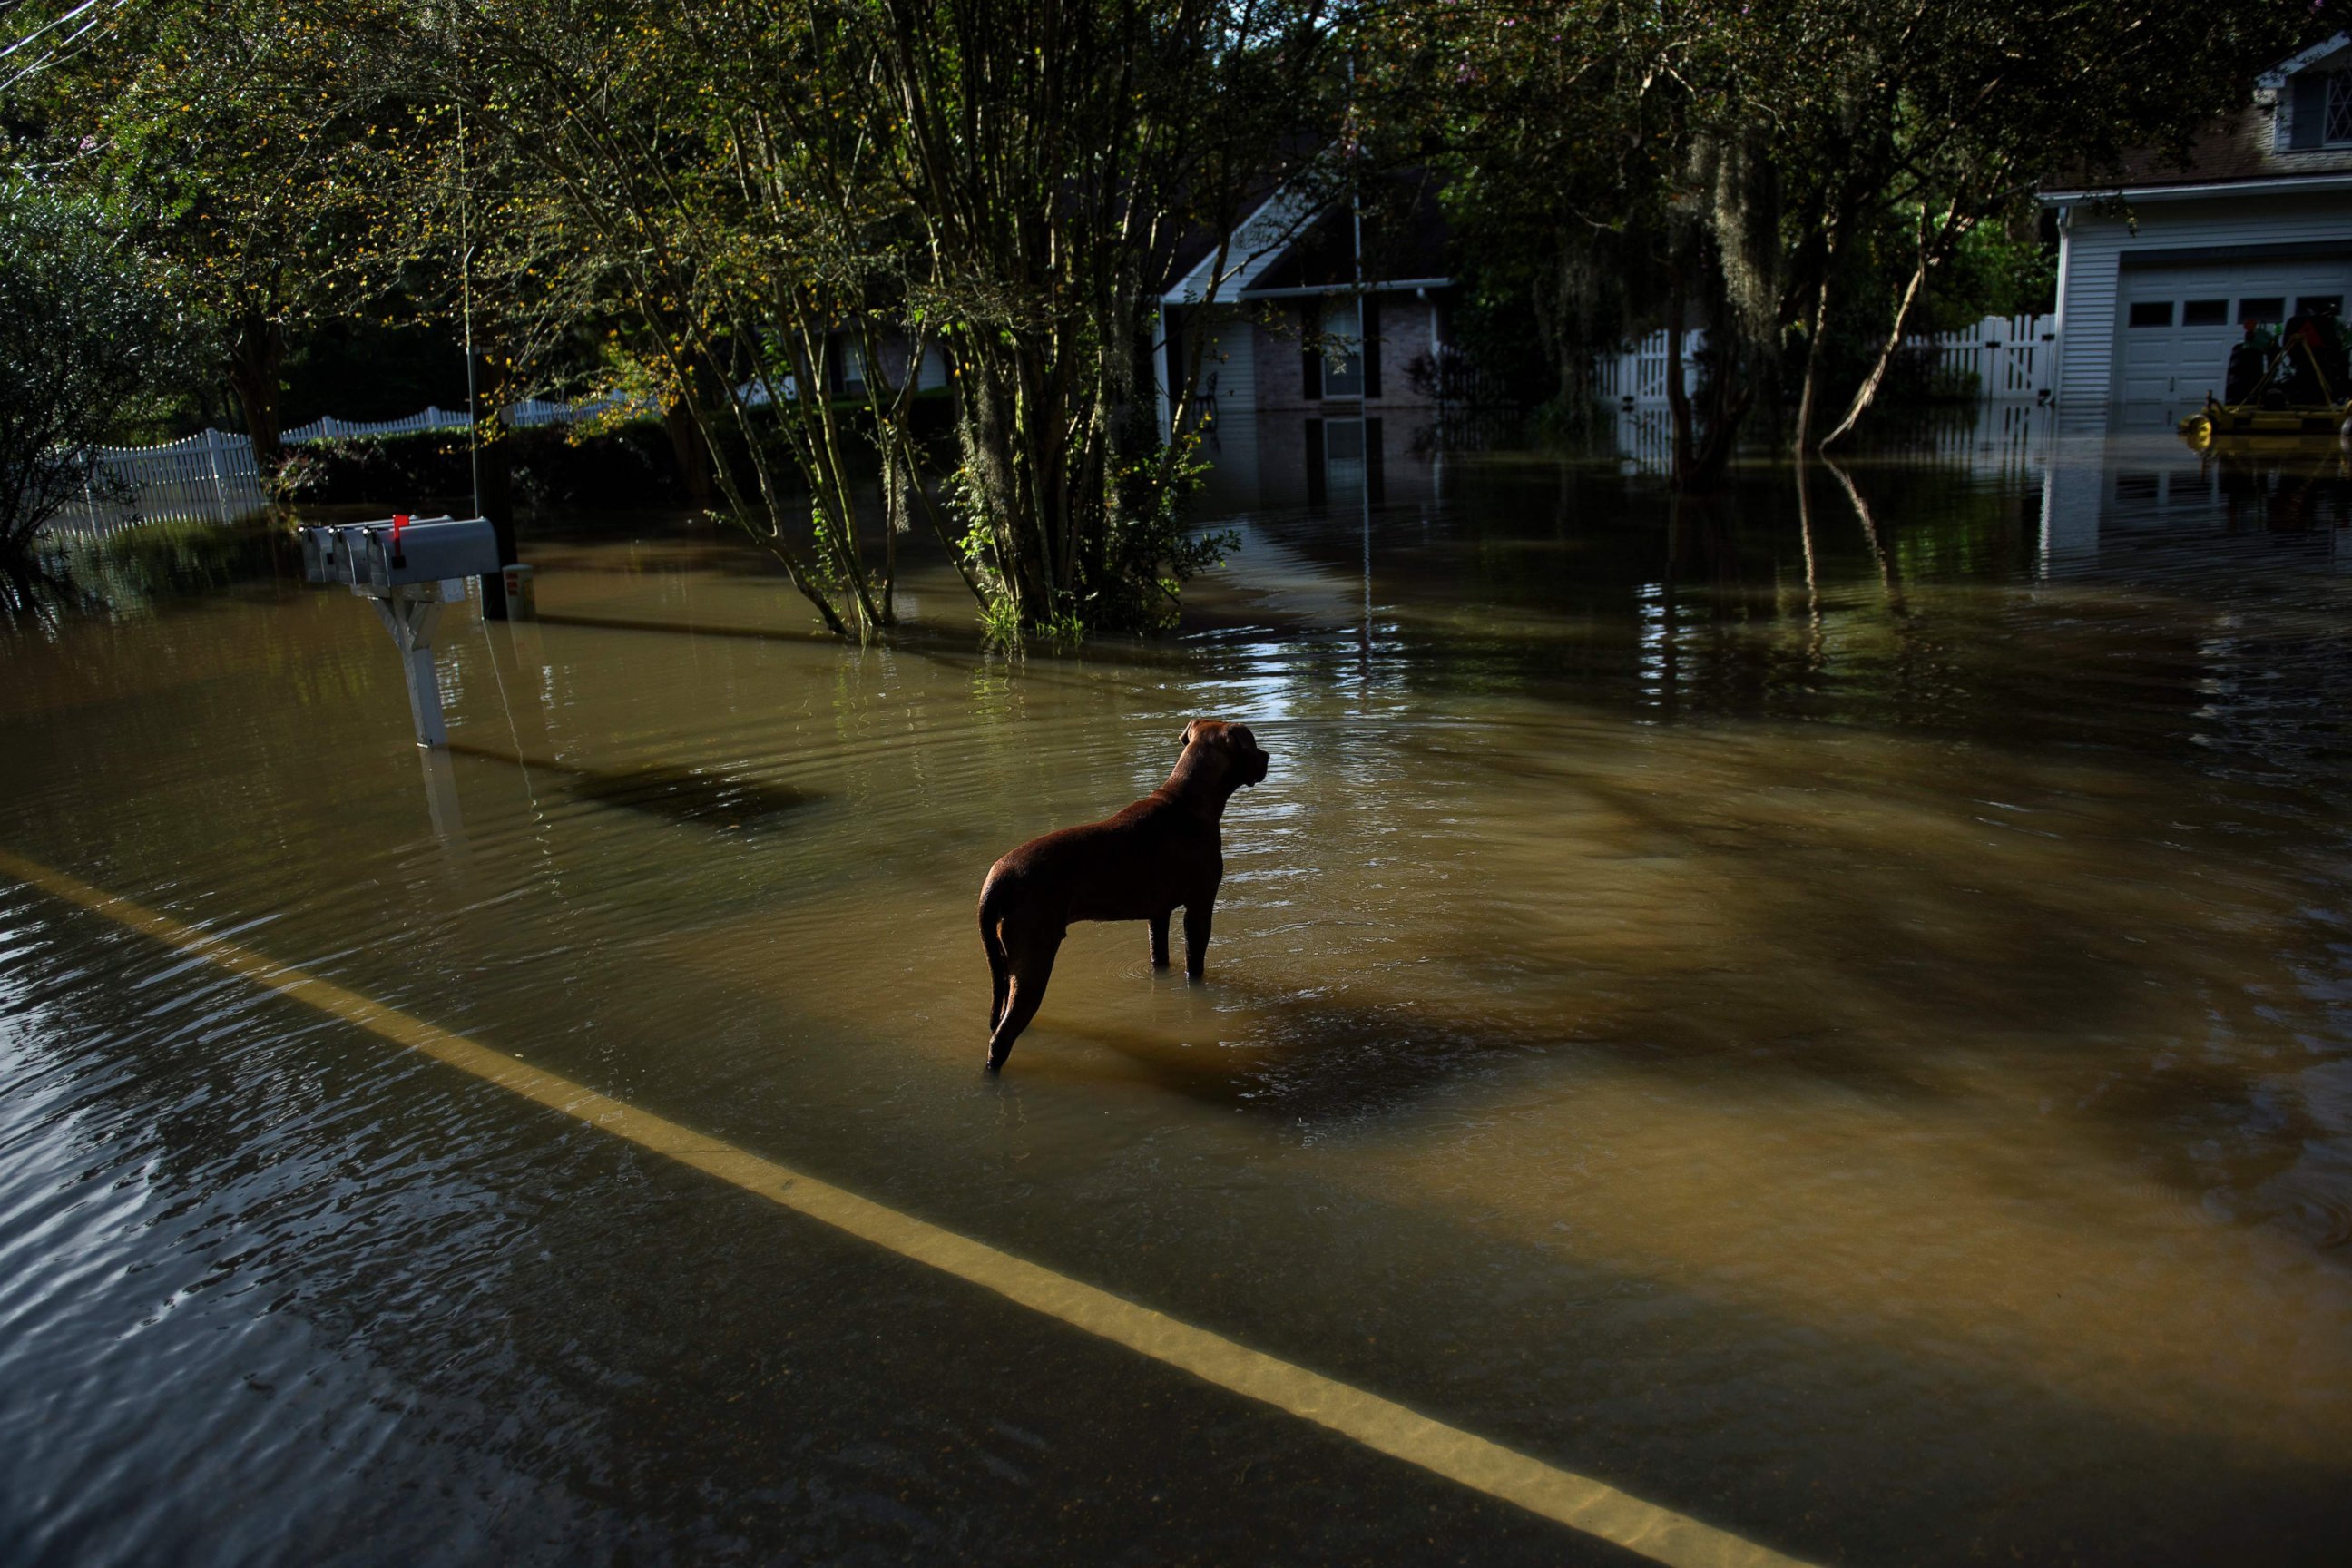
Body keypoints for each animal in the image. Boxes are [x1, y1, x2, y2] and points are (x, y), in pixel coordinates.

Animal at [974, 719, 1269, 1067]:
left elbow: (1159, 957)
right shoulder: (1199, 907)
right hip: (1034, 960)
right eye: (1252, 743)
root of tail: (997, 877)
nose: (1267, 756)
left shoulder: (1158, 914)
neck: (1189, 799)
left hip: (1009, 963)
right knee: (1000, 1039)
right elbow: (1194, 964)